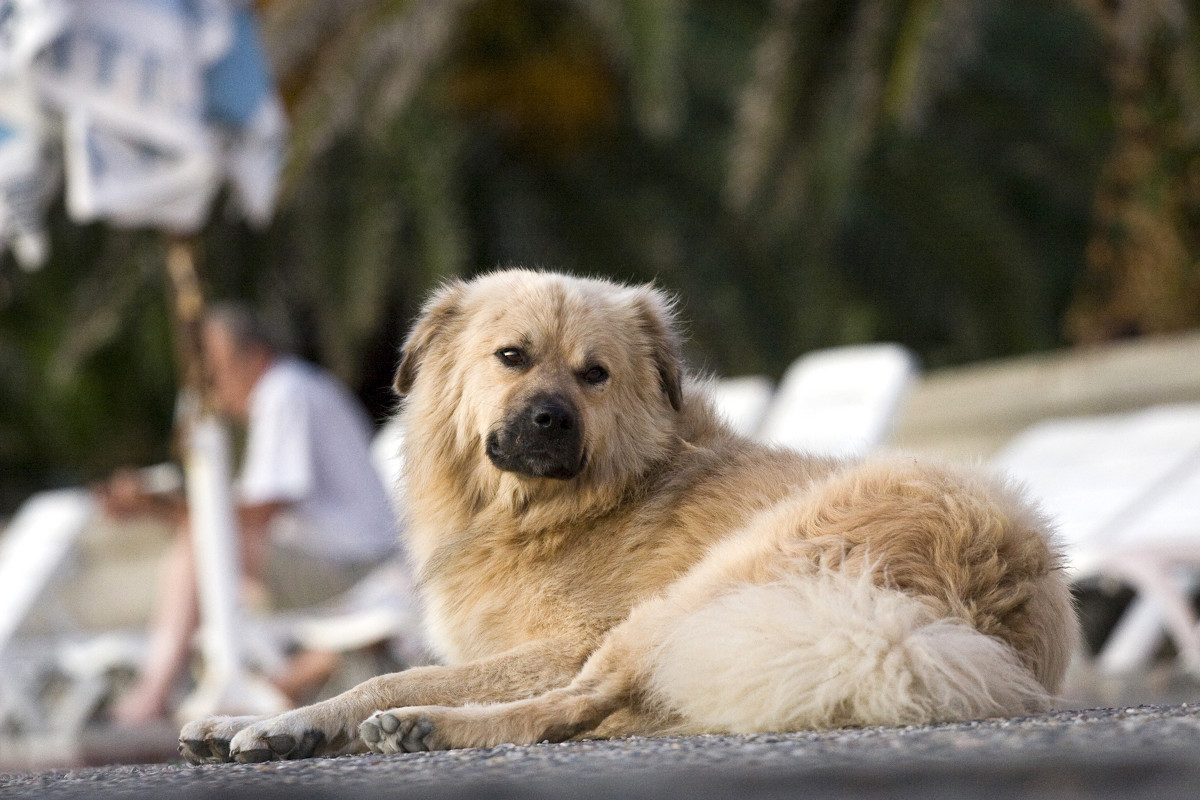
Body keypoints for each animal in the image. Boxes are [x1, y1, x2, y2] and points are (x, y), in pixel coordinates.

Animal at [175, 268, 1080, 762]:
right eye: (512, 357)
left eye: (595, 374)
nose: (551, 421)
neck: (572, 506)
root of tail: (992, 587)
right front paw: (246, 721)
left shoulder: (564, 641)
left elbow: (393, 673)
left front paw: (292, 724)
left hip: (706, 589)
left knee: (571, 704)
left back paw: (425, 727)